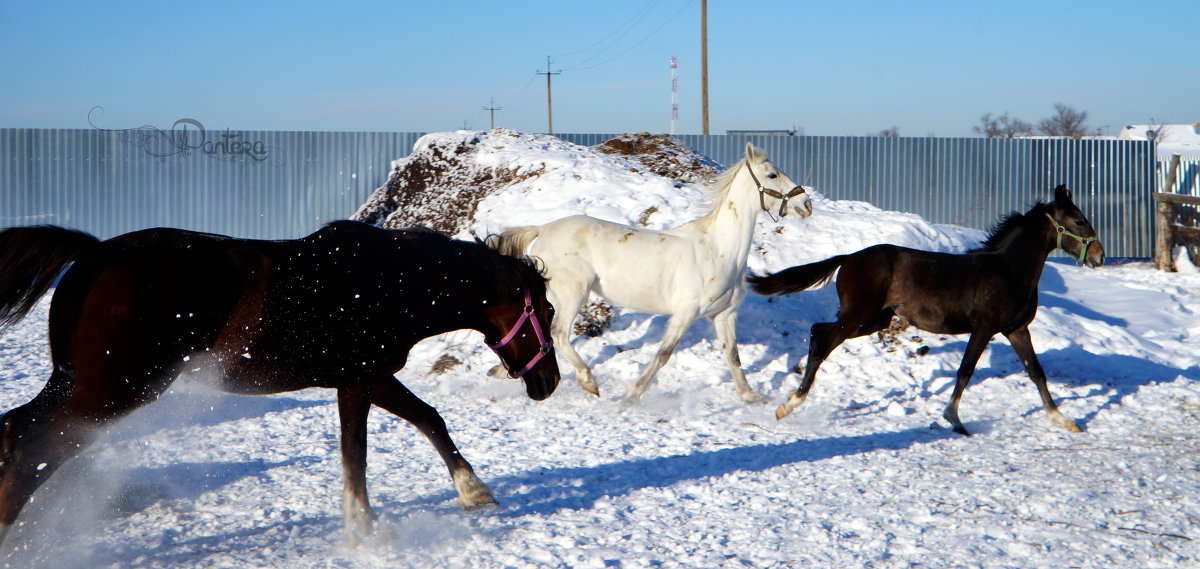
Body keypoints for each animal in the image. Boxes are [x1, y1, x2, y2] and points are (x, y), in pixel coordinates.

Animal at [0, 219, 556, 544]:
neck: (393, 282)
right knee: (36, 448)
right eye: (548, 312)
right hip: (116, 390)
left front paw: (474, 491)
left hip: (73, 382)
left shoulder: (373, 378)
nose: (548, 382)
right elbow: (355, 456)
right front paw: (362, 528)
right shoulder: (357, 383)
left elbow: (430, 418)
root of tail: (95, 256)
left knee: (17, 429)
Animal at [489, 142, 816, 403]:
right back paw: (589, 381)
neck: (719, 249)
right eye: (772, 175)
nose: (806, 204)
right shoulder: (686, 312)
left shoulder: (725, 314)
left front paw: (750, 395)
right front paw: (633, 393)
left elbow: (733, 356)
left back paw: (502, 371)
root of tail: (543, 228)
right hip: (573, 294)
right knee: (558, 334)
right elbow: (663, 354)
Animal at [748, 184, 1104, 434]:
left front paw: (1064, 420)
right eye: (1079, 220)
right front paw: (954, 419)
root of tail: (848, 259)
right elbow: (965, 371)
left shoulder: (1016, 329)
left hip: (874, 320)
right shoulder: (984, 327)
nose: (1099, 256)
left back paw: (790, 401)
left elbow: (1037, 372)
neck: (1009, 269)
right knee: (822, 340)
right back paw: (789, 405)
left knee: (817, 332)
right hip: (857, 318)